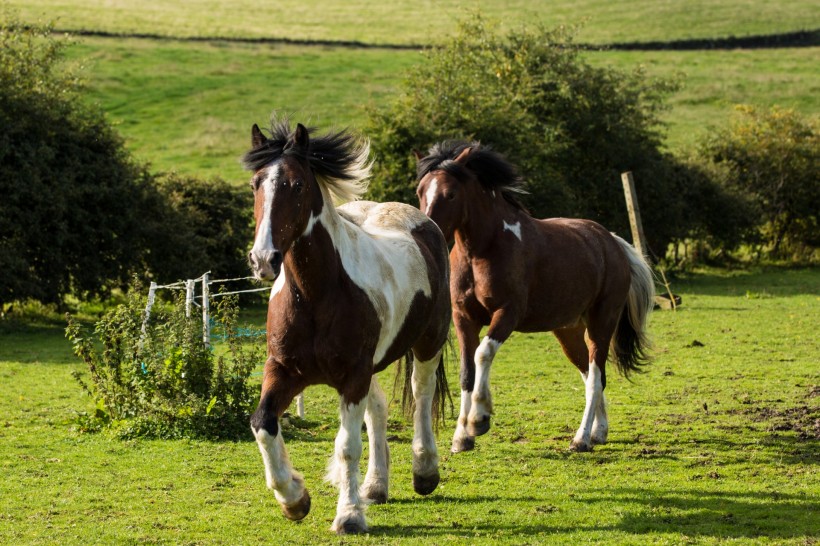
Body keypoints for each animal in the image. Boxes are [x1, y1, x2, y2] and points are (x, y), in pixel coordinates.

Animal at [245, 119, 451, 535]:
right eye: (256, 183)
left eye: (297, 185)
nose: (263, 259)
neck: (316, 294)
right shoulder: (283, 370)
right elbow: (263, 424)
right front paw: (294, 498)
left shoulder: (353, 374)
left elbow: (347, 445)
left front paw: (349, 515)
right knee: (379, 408)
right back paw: (375, 486)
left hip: (427, 342)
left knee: (421, 395)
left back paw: (424, 471)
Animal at [415, 140, 655, 454]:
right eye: (420, 191)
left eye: (451, 193)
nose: (428, 228)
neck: (484, 249)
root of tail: (612, 242)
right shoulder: (463, 318)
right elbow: (467, 371)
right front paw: (461, 437)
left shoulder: (506, 313)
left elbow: (483, 354)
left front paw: (479, 419)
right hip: (568, 332)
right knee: (593, 375)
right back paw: (598, 432)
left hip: (601, 325)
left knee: (594, 377)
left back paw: (581, 439)